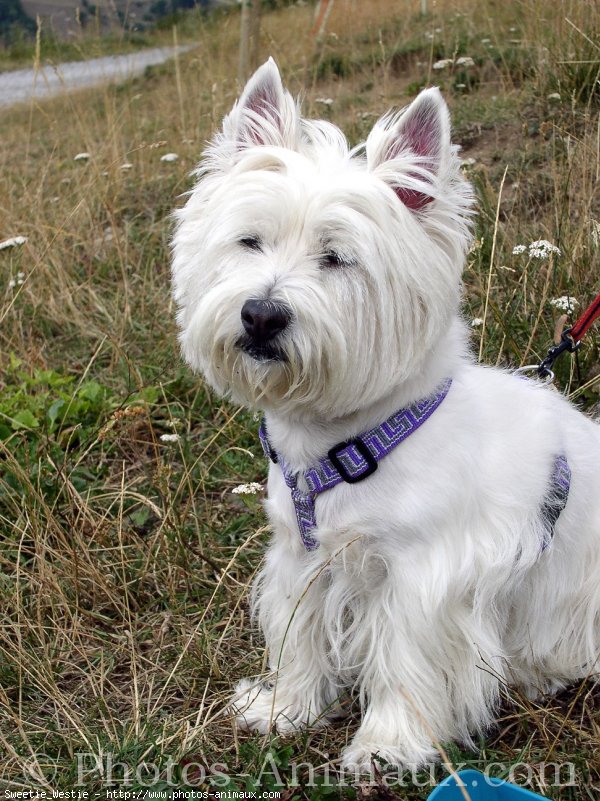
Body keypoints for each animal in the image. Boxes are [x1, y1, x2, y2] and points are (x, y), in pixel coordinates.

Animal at [170, 59, 600, 772]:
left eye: (337, 257)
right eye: (250, 241)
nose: (261, 315)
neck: (351, 441)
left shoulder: (425, 575)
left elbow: (404, 660)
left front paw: (386, 746)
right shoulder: (302, 558)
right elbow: (298, 634)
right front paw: (285, 711)